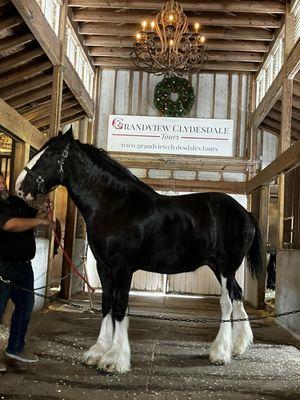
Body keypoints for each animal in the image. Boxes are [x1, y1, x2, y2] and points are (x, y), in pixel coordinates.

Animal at [15, 129, 262, 376]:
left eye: (51, 154)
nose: (20, 187)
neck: (115, 206)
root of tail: (245, 213)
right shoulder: (104, 268)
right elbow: (107, 304)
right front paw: (98, 352)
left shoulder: (123, 268)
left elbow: (119, 308)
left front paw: (114, 359)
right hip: (218, 267)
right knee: (237, 295)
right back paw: (238, 346)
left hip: (225, 267)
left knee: (227, 302)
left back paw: (220, 353)